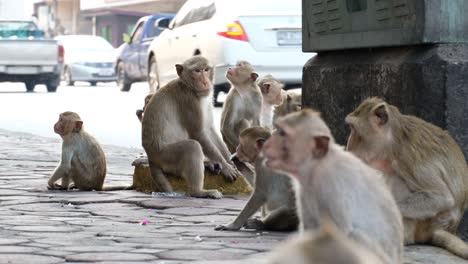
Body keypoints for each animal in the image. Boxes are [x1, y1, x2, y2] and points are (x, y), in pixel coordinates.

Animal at [142, 56, 241, 200]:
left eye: (206, 69)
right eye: (197, 71)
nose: (205, 81)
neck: (188, 86)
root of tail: (151, 158)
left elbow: (209, 130)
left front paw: (230, 161)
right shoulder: (189, 100)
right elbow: (198, 133)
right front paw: (226, 167)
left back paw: (208, 164)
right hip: (165, 156)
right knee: (192, 147)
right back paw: (199, 191)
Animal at [264, 109, 402, 264]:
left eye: (282, 133)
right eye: (278, 130)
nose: (266, 143)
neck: (316, 166)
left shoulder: (332, 184)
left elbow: (338, 232)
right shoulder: (303, 188)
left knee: (354, 236)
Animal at [344, 97, 468, 258]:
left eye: (353, 128)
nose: (348, 144)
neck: (393, 142)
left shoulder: (408, 159)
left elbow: (441, 197)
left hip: (422, 223)